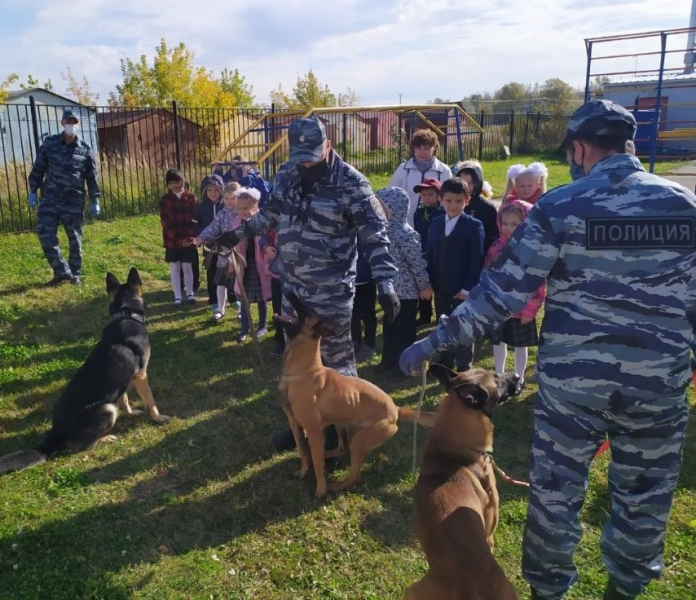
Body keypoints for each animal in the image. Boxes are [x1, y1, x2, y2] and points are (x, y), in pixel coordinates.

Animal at [0, 268, 170, 474]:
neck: (125, 314)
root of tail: (55, 434)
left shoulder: (125, 380)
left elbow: (124, 399)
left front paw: (131, 413)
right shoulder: (141, 376)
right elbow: (150, 402)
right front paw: (158, 418)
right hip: (107, 409)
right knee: (83, 445)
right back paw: (105, 438)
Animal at [274, 292, 432, 500]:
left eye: (307, 309)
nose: (290, 293)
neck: (302, 371)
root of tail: (395, 410)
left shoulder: (313, 429)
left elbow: (316, 461)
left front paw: (320, 488)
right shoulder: (294, 422)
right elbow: (302, 449)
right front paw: (303, 470)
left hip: (360, 439)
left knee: (354, 471)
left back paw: (338, 484)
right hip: (340, 423)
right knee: (342, 449)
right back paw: (328, 455)